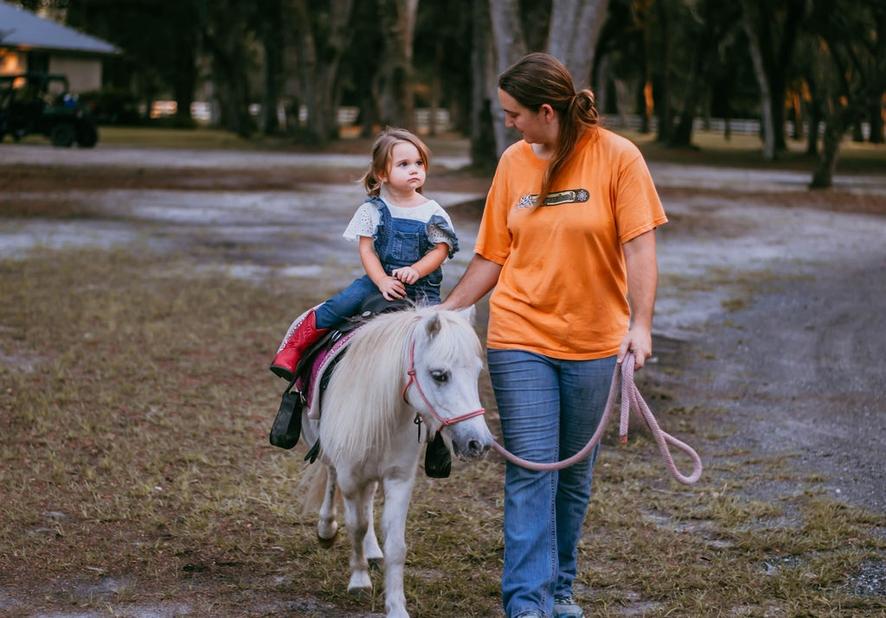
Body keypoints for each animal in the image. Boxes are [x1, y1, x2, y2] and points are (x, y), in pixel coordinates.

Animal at [298, 304, 492, 616]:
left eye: (476, 373)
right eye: (440, 375)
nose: (479, 443)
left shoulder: (399, 479)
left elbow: (396, 546)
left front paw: (396, 606)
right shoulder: (350, 476)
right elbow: (356, 525)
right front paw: (359, 581)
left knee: (368, 500)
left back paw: (372, 551)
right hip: (329, 452)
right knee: (331, 478)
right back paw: (326, 529)